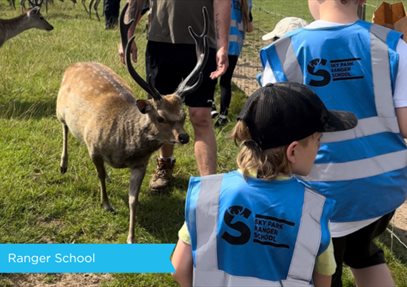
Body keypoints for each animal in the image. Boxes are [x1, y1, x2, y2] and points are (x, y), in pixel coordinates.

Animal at [56, 3, 210, 244]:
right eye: (160, 117)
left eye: (183, 115)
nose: (183, 137)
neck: (123, 146)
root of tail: (74, 65)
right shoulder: (94, 147)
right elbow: (99, 176)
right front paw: (106, 204)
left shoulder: (141, 164)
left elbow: (132, 199)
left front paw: (131, 236)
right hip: (59, 107)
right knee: (63, 127)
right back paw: (63, 164)